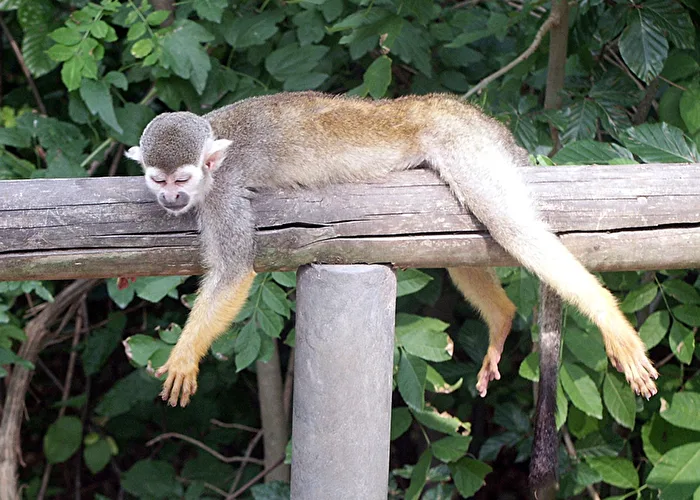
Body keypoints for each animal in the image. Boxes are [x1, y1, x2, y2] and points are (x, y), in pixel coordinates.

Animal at [125, 92, 658, 414]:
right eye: (158, 180)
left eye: (182, 179)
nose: (172, 199)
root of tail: (465, 111)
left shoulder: (223, 194)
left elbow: (235, 271)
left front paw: (183, 356)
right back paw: (502, 317)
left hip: (463, 142)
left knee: (513, 226)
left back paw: (609, 319)